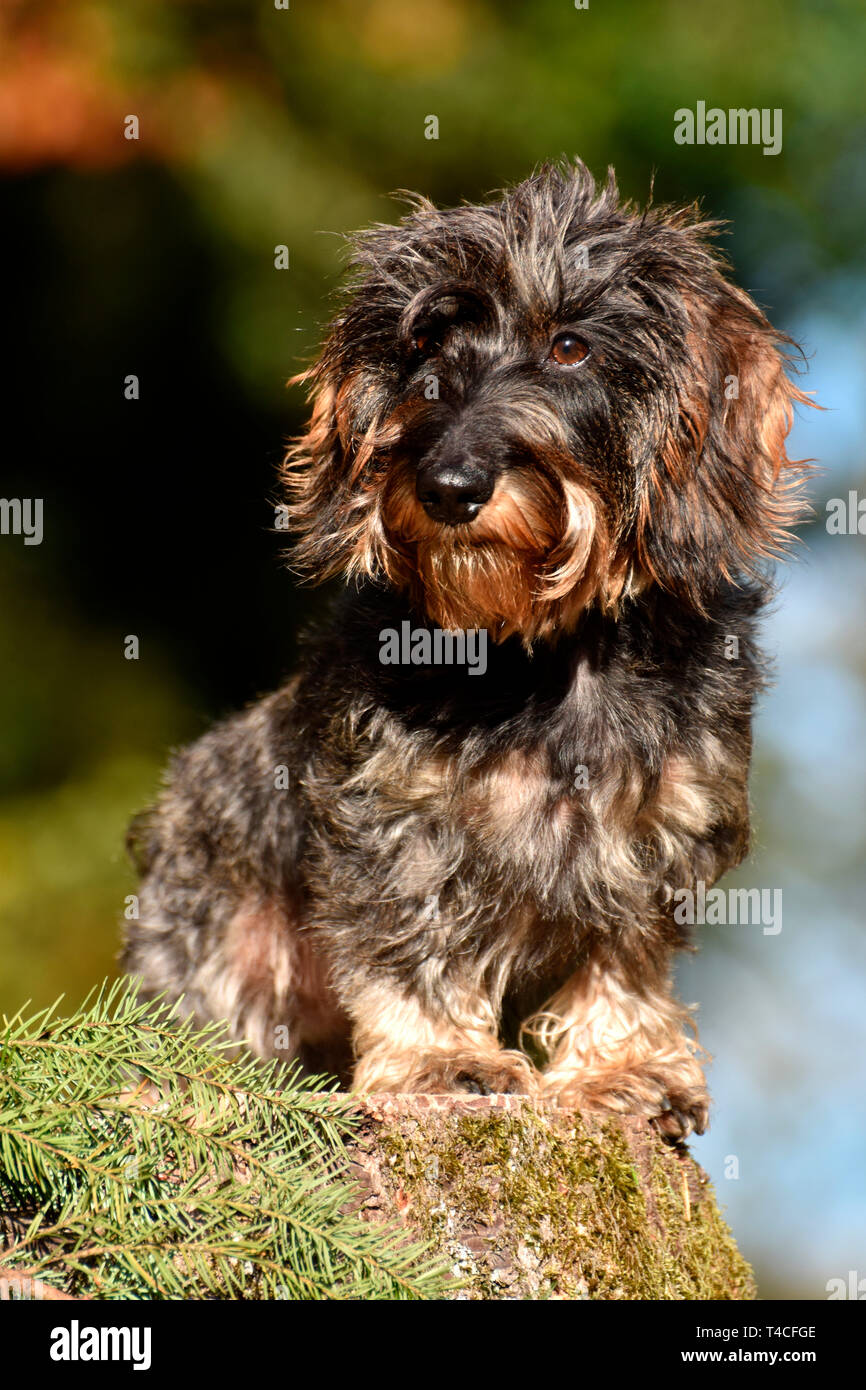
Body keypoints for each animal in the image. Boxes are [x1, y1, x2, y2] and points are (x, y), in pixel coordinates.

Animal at [123, 162, 811, 1139]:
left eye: (570, 346)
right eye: (424, 350)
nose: (448, 485)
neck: (544, 657)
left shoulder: (652, 836)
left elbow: (623, 959)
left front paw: (622, 1071)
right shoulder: (397, 821)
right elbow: (411, 943)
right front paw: (442, 1061)